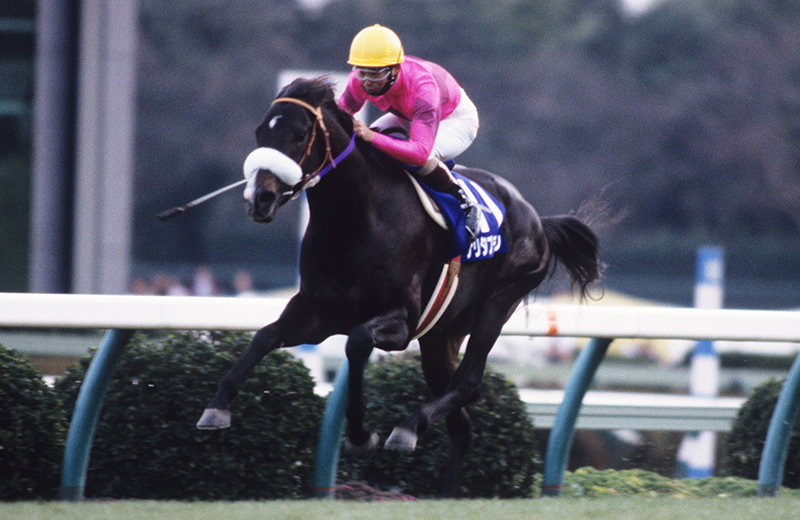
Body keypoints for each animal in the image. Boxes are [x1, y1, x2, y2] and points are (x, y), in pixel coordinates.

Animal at [197, 76, 604, 497]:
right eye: (261, 132)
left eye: (299, 135)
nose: (259, 198)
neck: (354, 220)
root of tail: (536, 218)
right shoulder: (317, 313)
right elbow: (265, 336)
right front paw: (217, 405)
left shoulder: (401, 320)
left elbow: (357, 341)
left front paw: (361, 435)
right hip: (441, 336)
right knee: (462, 419)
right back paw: (445, 491)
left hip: (498, 302)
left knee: (469, 382)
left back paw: (408, 427)